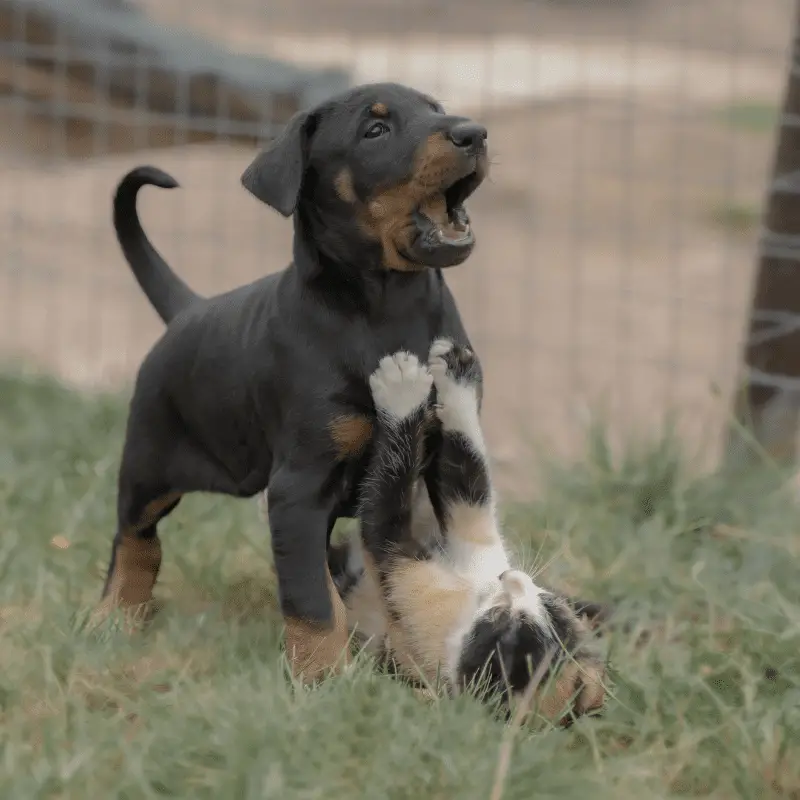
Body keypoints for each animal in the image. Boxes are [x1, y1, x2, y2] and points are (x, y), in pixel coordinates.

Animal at [98, 81, 488, 684]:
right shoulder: (298, 487)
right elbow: (310, 596)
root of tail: (188, 309)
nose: (474, 133)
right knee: (135, 539)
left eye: (437, 110)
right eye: (375, 130)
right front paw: (325, 677)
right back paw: (114, 618)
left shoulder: (441, 458)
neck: (386, 307)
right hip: (148, 460)